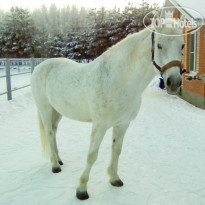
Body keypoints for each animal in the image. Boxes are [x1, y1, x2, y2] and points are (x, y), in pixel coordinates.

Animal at [30, 20, 184, 199]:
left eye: (182, 45)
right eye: (159, 45)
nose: (174, 82)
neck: (119, 79)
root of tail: (40, 66)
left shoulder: (122, 124)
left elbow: (116, 150)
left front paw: (114, 178)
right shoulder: (100, 125)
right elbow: (92, 155)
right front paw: (81, 190)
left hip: (57, 111)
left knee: (54, 133)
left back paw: (59, 160)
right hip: (45, 109)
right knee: (49, 133)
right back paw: (55, 166)